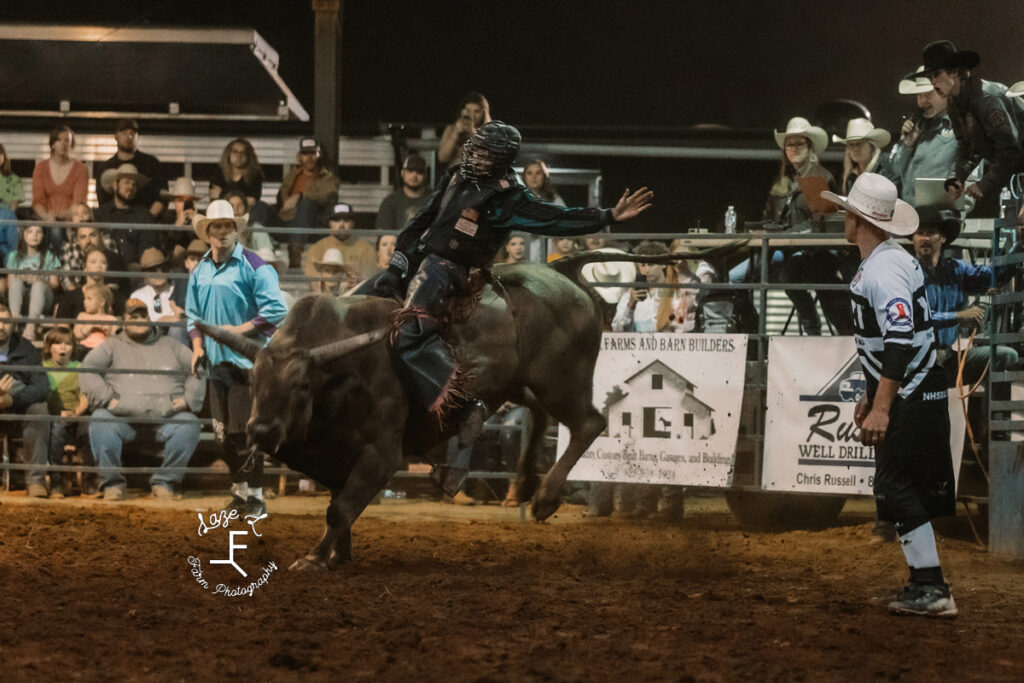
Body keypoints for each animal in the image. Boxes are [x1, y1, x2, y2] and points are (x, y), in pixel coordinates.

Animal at [196, 252, 700, 573]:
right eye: (254, 383)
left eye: (302, 384)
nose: (261, 429)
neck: (342, 372)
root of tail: (562, 274)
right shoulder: (336, 455)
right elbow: (340, 504)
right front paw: (338, 555)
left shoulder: (380, 454)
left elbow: (340, 508)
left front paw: (316, 559)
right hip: (525, 384)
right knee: (539, 418)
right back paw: (520, 484)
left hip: (562, 381)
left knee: (588, 422)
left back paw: (543, 498)